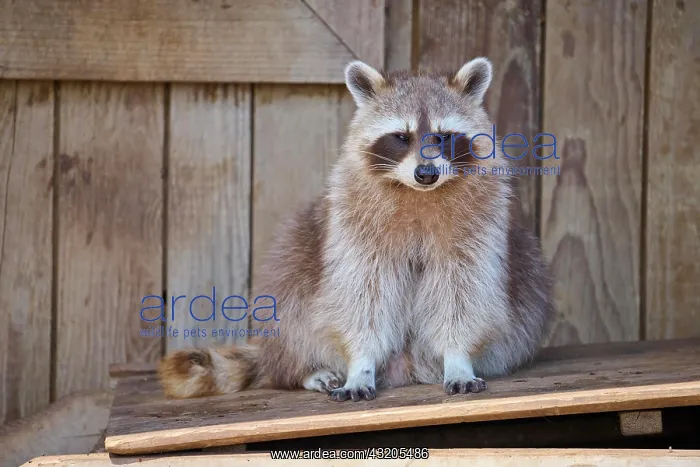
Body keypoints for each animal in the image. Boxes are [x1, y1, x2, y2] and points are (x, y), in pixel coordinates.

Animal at [159, 58, 555, 402]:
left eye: (443, 137)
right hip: (298, 256)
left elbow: (463, 291)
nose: (426, 173)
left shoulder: (478, 224)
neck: (417, 192)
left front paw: (457, 357)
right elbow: (362, 294)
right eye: (401, 136)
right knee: (293, 300)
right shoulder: (354, 224)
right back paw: (302, 368)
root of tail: (406, 367)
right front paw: (360, 363)